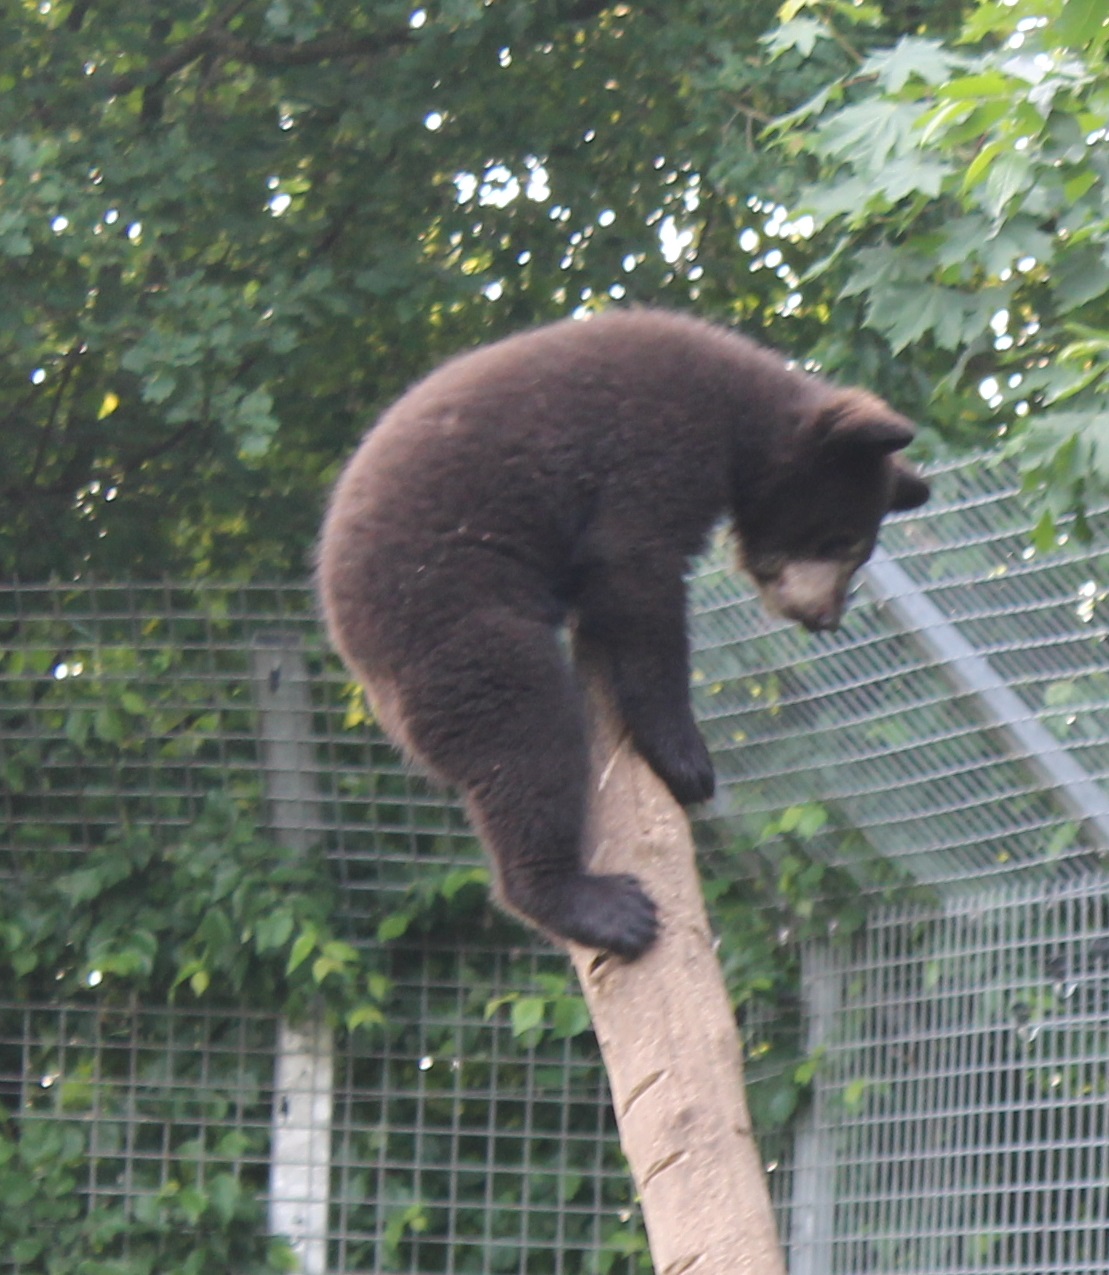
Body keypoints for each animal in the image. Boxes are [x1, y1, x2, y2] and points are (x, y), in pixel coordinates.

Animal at [317, 308, 929, 959]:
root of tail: (353, 652)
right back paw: (591, 904)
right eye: (843, 541)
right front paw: (687, 761)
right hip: (451, 623)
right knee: (525, 738)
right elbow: (637, 574)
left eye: (857, 552)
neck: (743, 413)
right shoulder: (654, 445)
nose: (826, 618)